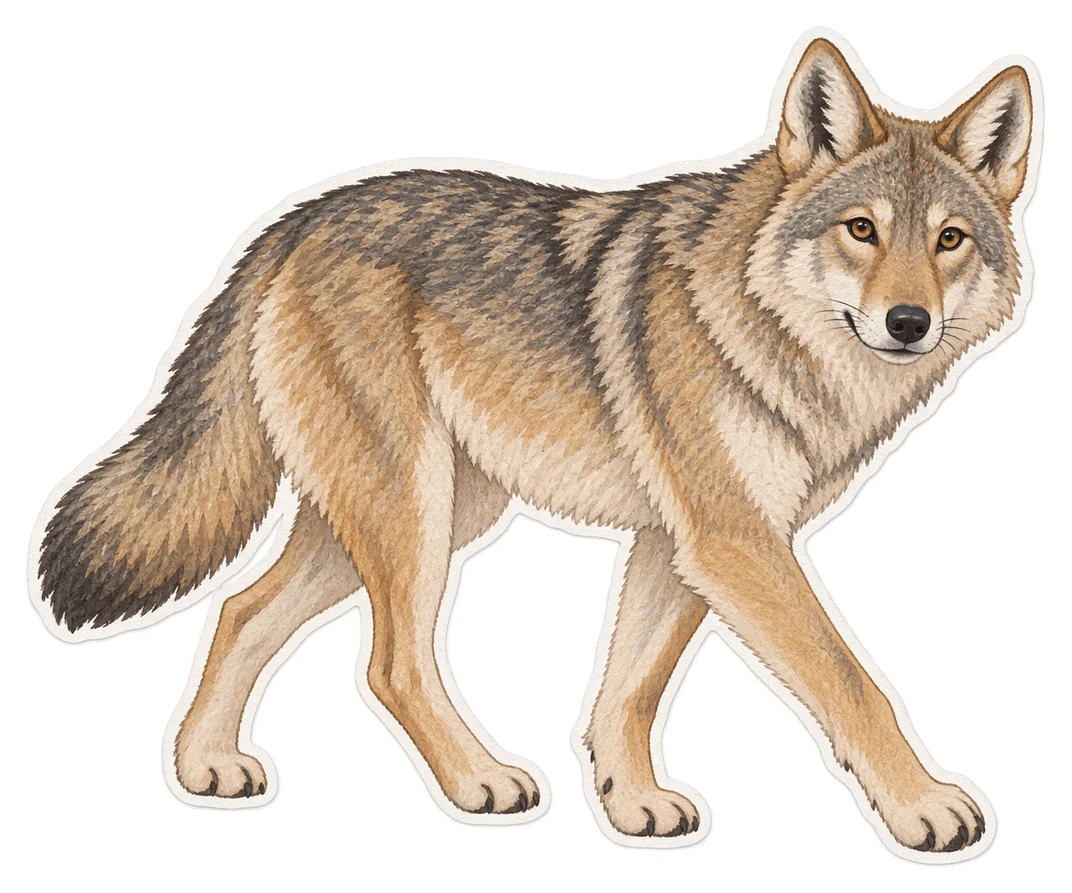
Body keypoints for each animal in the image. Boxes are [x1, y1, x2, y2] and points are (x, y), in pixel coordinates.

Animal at [30, 36, 1038, 855]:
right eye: (861, 229)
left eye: (949, 240)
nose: (908, 322)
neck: (767, 328)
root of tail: (288, 225)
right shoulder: (736, 542)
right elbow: (852, 681)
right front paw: (923, 806)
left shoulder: (684, 544)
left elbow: (629, 688)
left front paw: (630, 805)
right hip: (413, 514)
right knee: (388, 663)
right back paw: (478, 780)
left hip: (414, 514)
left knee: (241, 608)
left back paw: (202, 768)